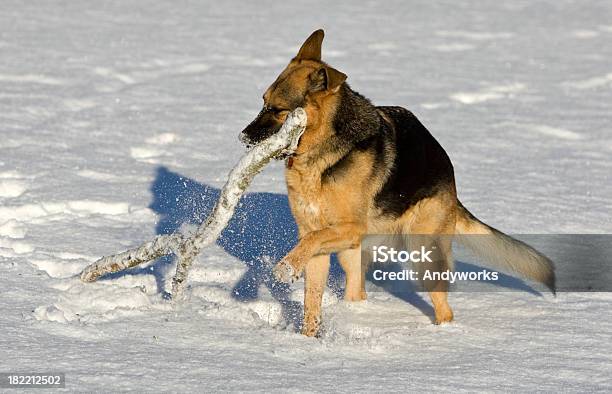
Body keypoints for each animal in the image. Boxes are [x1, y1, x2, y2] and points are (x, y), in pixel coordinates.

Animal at [239, 29, 556, 338]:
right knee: (357, 290)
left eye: (279, 109)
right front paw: (308, 340)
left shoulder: (348, 229)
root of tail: (451, 181)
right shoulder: (317, 239)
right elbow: (311, 296)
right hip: (351, 253)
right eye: (263, 102)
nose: (242, 137)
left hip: (422, 252)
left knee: (444, 308)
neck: (322, 156)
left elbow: (311, 241)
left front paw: (284, 268)